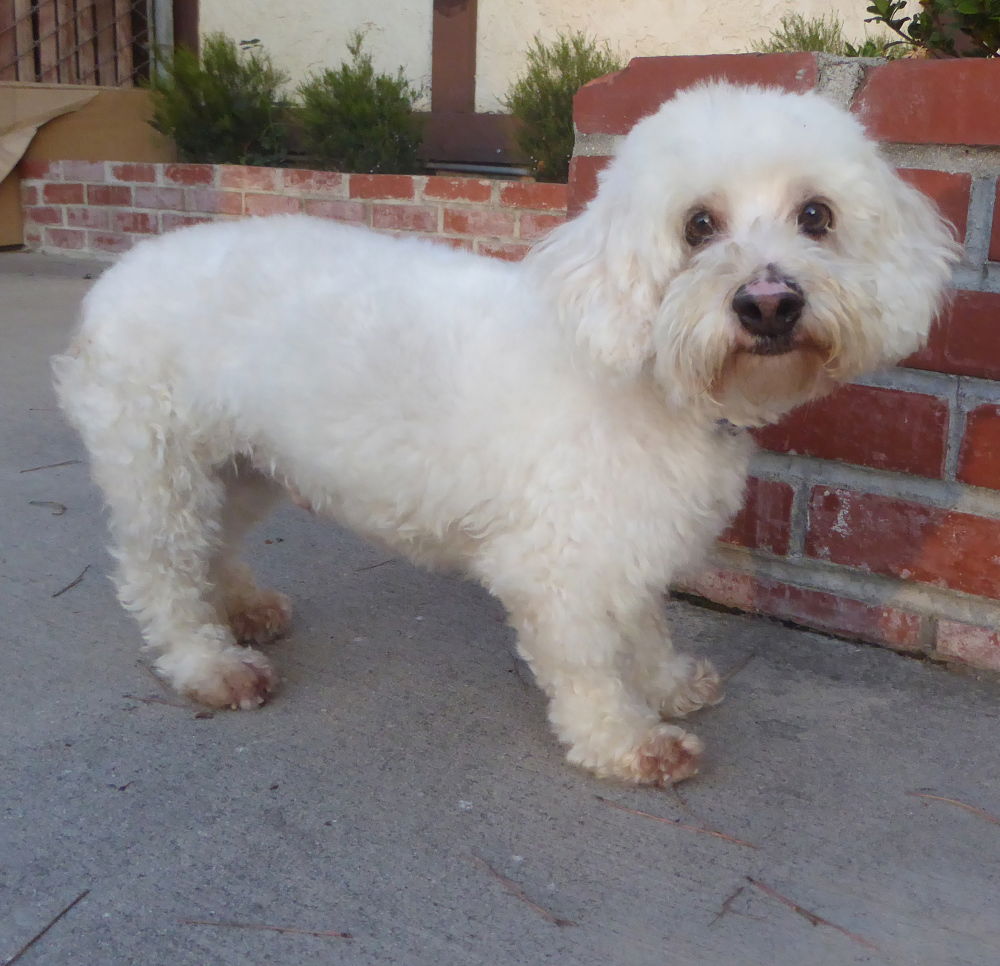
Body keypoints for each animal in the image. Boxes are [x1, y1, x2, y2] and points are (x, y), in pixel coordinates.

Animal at [50, 85, 956, 788]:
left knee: (217, 545)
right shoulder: (558, 563)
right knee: (160, 573)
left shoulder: (627, 541)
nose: (769, 303)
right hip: (163, 468)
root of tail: (115, 280)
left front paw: (665, 682)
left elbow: (643, 625)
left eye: (816, 216)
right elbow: (588, 661)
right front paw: (626, 740)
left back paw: (241, 605)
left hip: (240, 466)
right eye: (698, 225)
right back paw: (208, 661)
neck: (640, 375)